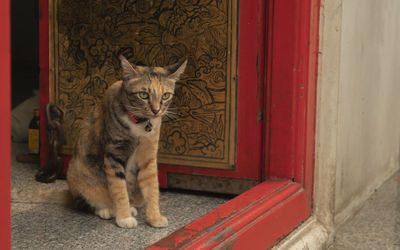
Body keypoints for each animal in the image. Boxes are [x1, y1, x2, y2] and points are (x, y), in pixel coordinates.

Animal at [67, 55, 188, 228]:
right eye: (143, 94)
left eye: (165, 95)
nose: (156, 110)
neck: (139, 125)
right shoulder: (113, 155)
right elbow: (119, 189)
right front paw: (124, 218)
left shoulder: (148, 156)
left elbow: (152, 187)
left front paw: (155, 218)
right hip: (79, 175)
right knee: (88, 202)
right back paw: (108, 210)